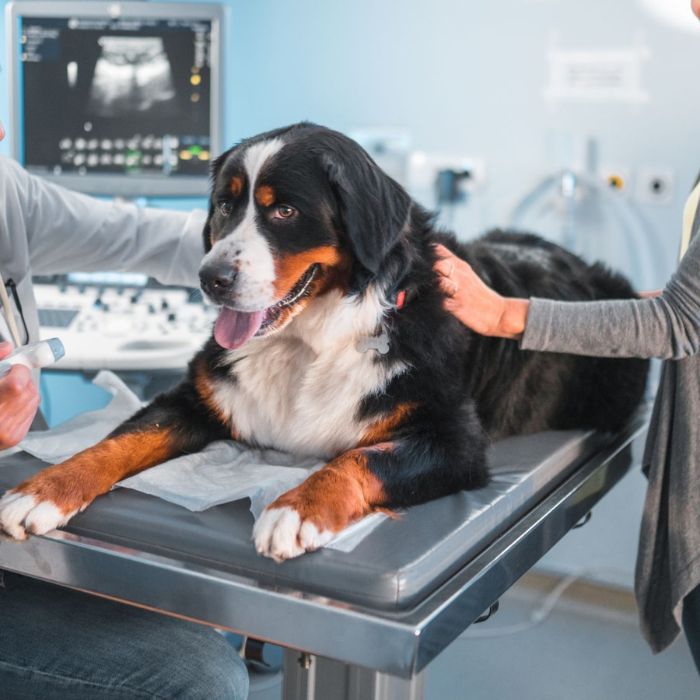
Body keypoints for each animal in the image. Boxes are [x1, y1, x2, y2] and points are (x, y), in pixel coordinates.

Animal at [0, 123, 648, 560]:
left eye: (283, 211)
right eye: (224, 205)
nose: (210, 277)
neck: (308, 342)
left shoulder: (455, 440)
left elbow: (359, 460)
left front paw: (296, 508)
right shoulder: (200, 396)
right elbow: (116, 442)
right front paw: (42, 491)